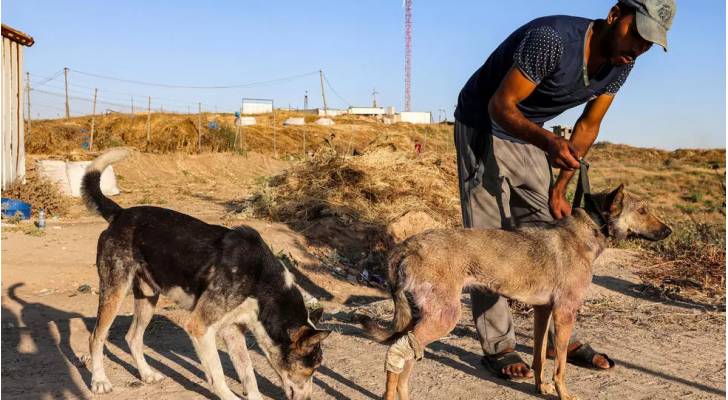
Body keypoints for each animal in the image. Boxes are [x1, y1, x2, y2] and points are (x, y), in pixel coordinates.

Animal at [81, 148, 328, 398]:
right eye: (312, 367)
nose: (309, 398)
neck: (262, 284)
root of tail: (120, 214)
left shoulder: (232, 330)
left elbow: (248, 374)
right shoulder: (200, 328)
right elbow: (217, 374)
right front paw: (227, 395)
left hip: (148, 297)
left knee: (132, 338)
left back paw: (147, 374)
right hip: (114, 290)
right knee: (96, 337)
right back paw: (99, 381)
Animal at [362, 185, 672, 400]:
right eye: (642, 211)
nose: (669, 230)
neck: (589, 229)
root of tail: (404, 246)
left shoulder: (543, 311)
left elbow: (539, 357)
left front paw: (541, 387)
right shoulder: (565, 312)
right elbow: (560, 364)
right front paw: (563, 393)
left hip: (425, 316)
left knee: (406, 356)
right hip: (444, 317)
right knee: (397, 352)